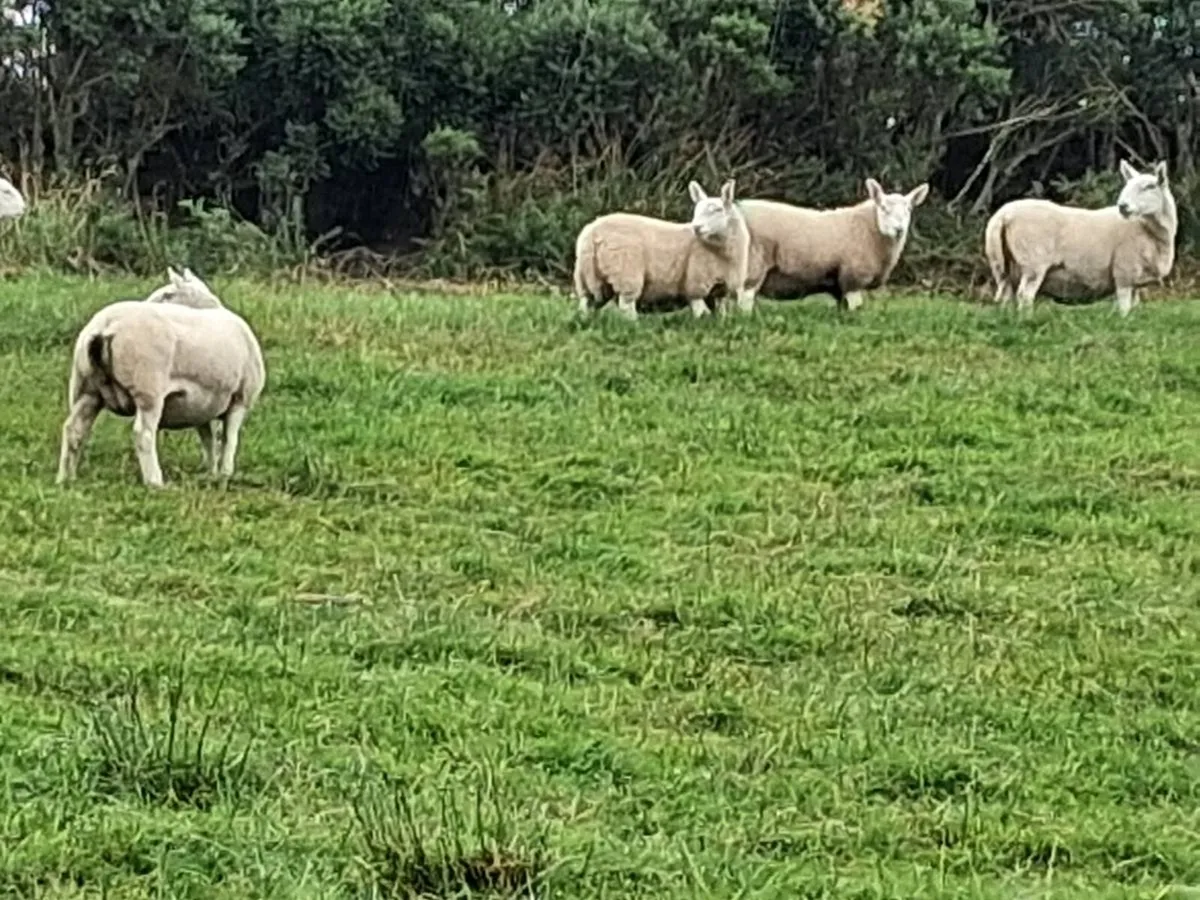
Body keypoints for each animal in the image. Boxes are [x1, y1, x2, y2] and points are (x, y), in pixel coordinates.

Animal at [56, 267, 266, 488]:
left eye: (168, 294)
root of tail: (105, 326)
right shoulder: (240, 399)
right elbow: (229, 439)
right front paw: (225, 474)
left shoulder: (202, 408)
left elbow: (209, 441)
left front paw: (212, 474)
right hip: (148, 388)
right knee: (143, 434)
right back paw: (155, 482)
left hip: (86, 387)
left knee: (73, 429)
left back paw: (65, 478)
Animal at [573, 179, 752, 320]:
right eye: (696, 210)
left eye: (718, 210)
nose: (696, 227)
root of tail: (592, 233)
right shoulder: (696, 282)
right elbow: (700, 310)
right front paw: (702, 321)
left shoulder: (721, 288)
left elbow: (721, 312)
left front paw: (721, 322)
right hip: (625, 272)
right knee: (626, 305)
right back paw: (634, 324)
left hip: (588, 276)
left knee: (586, 302)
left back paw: (584, 320)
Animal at [737, 178, 930, 312]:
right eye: (883, 208)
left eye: (909, 210)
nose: (899, 229)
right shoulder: (853, 277)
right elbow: (855, 308)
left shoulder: (840, 284)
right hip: (753, 263)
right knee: (745, 299)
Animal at [984, 160, 1177, 316]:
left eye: (1150, 187)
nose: (1123, 206)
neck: (1147, 229)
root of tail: (1004, 216)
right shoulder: (1124, 274)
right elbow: (1124, 308)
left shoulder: (1134, 280)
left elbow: (1134, 307)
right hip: (1033, 263)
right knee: (1025, 295)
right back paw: (1027, 320)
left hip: (999, 265)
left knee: (1006, 295)